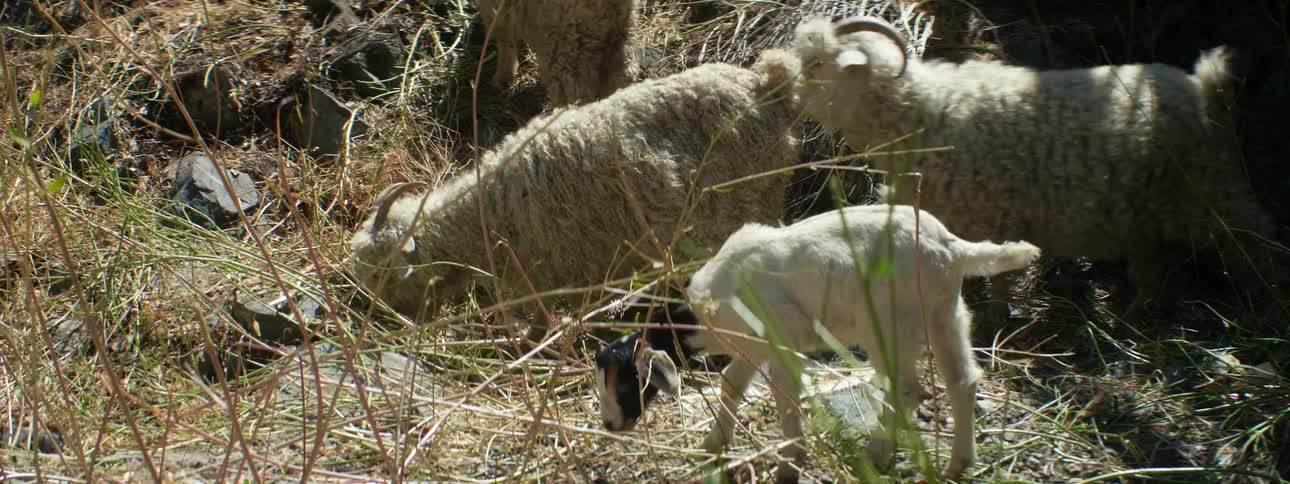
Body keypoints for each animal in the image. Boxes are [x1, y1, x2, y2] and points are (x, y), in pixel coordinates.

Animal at [349, 52, 801, 317]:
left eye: (384, 275)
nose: (380, 319)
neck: (490, 211)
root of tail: (767, 83)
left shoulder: (549, 274)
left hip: (749, 201)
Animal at [476, 0, 636, 106]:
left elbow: (500, 31)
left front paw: (502, 78)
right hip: (618, 32)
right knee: (621, 76)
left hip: (564, 41)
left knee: (574, 94)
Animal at [595, 204, 1041, 481]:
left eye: (627, 383)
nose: (611, 425)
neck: (705, 309)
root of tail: (952, 249)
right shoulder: (753, 348)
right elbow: (730, 384)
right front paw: (713, 443)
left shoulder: (782, 338)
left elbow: (784, 398)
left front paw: (790, 462)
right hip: (945, 313)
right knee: (962, 381)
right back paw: (958, 464)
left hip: (890, 324)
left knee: (908, 388)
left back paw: (877, 454)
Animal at [787, 16, 1281, 315]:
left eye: (817, 64)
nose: (780, 90)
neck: (922, 114)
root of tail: (1205, 91)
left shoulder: (995, 216)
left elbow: (998, 275)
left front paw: (995, 316)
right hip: (1155, 213)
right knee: (1155, 264)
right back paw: (1138, 312)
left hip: (1215, 190)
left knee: (1257, 242)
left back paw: (1268, 307)